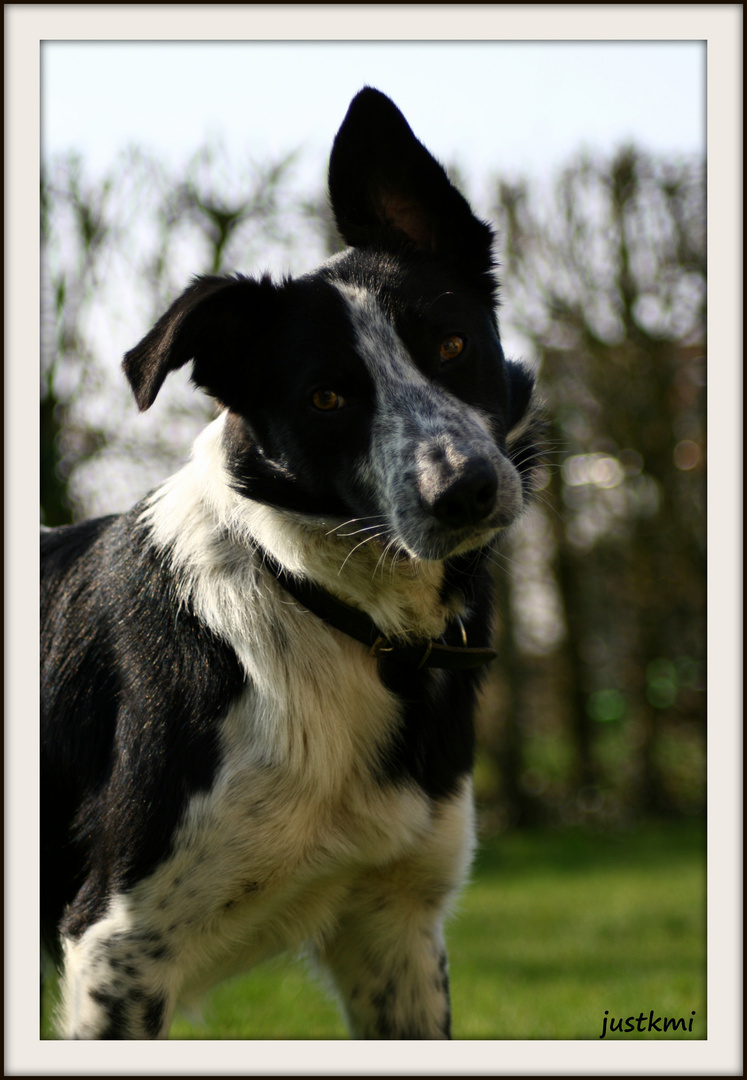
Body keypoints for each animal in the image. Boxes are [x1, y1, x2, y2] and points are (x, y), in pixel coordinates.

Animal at [40, 90, 541, 1036]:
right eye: (327, 396)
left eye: (451, 346)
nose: (464, 492)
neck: (326, 607)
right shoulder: (115, 949)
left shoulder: (395, 930)